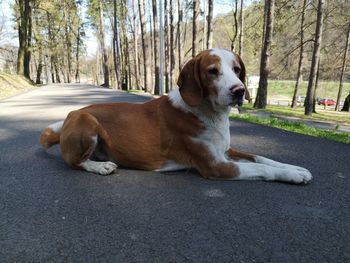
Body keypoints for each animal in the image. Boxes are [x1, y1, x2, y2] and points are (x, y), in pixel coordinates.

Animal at [40, 50, 312, 186]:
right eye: (212, 71)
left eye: (237, 70)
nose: (239, 91)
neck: (209, 113)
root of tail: (67, 122)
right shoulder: (216, 166)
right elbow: (261, 168)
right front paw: (292, 175)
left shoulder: (226, 151)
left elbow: (261, 158)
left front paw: (295, 168)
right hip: (86, 120)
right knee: (75, 162)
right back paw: (100, 166)